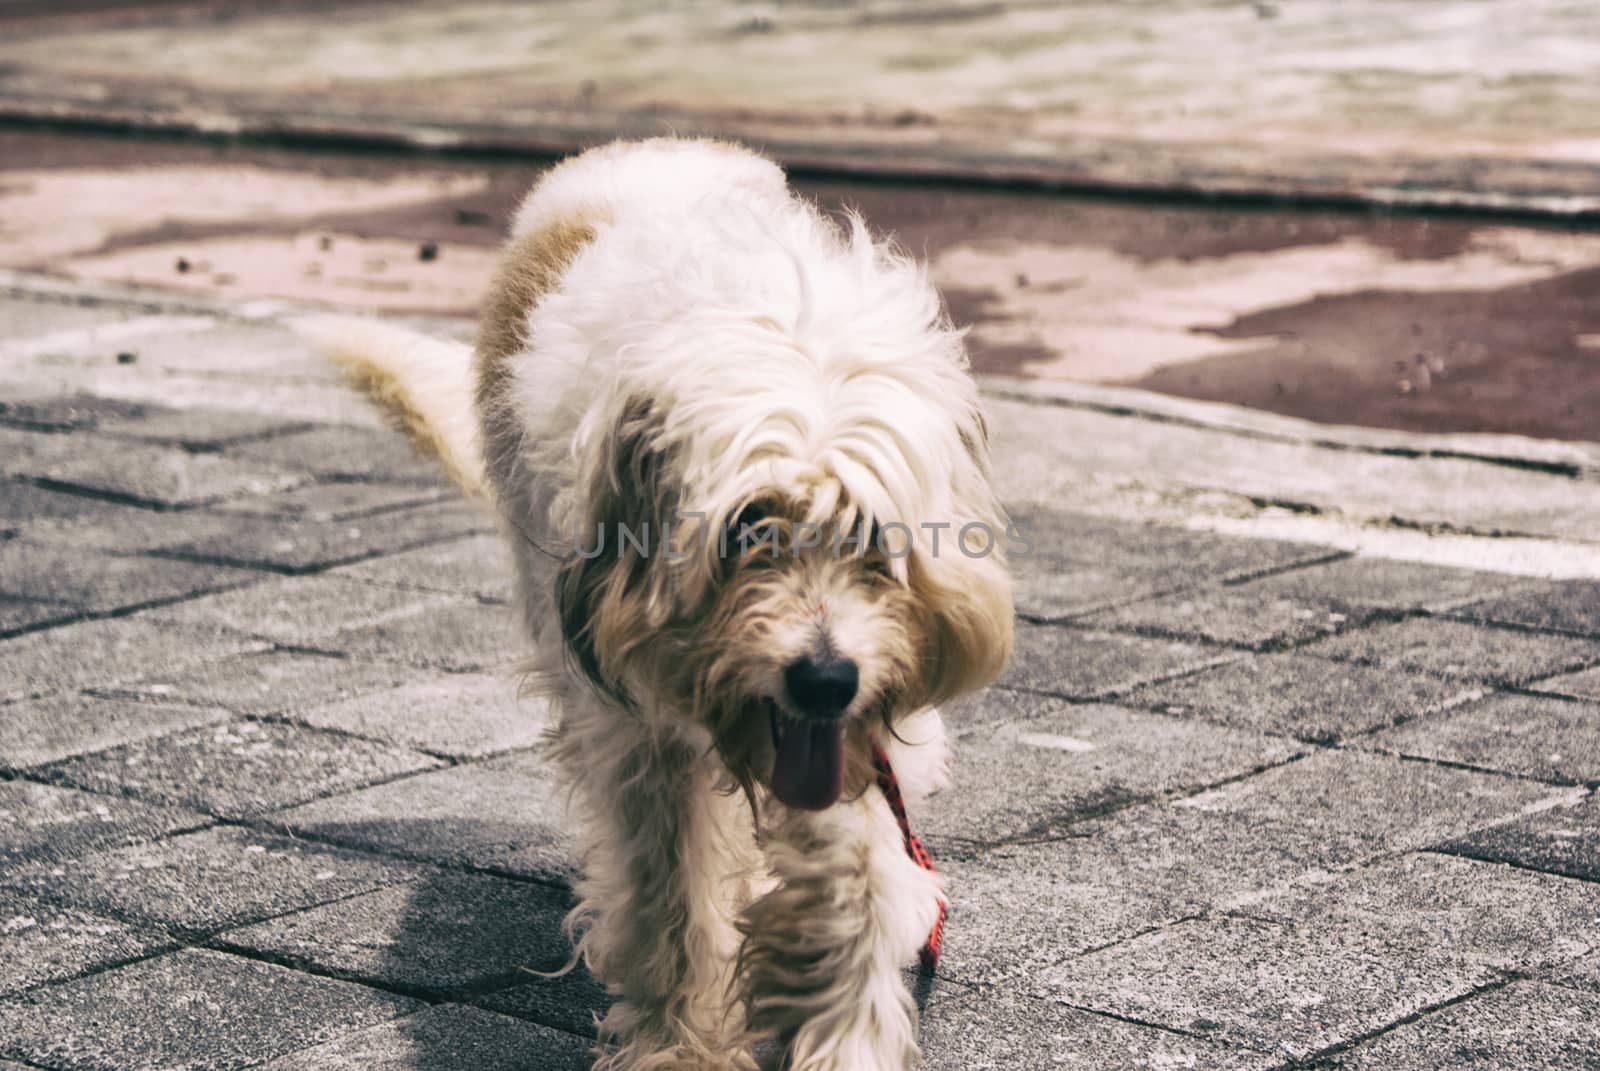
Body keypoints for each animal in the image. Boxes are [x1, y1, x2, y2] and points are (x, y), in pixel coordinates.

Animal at [313, 137, 1011, 1062]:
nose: (823, 678)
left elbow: (853, 872)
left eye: (869, 533)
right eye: (747, 529)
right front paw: (682, 1047)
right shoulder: (636, 730)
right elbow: (672, 894)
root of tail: (642, 148)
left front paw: (842, 1029)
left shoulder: (850, 734)